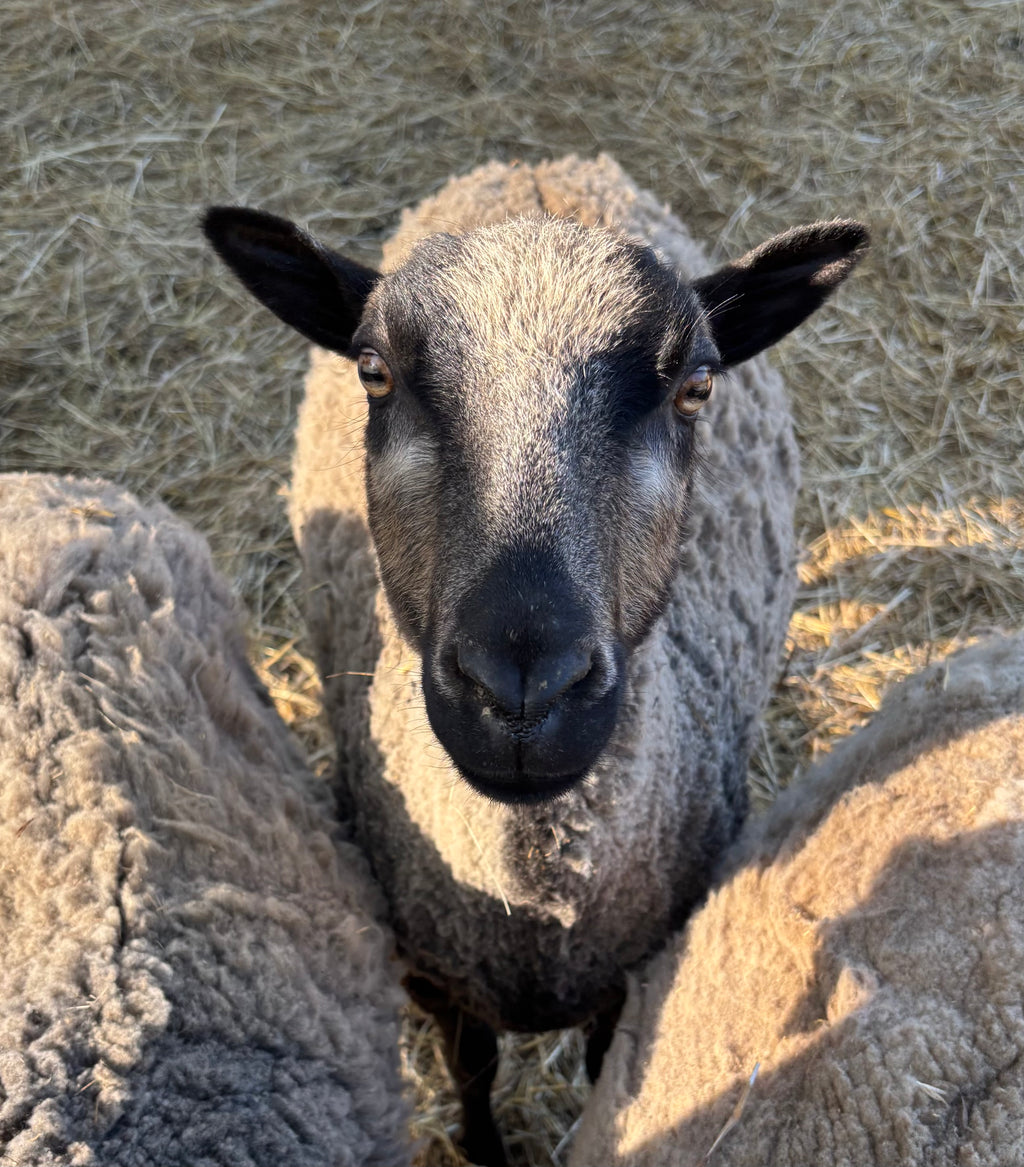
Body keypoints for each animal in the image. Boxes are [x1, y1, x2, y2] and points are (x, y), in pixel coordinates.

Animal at [203, 153, 868, 1163]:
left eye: (696, 386)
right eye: (374, 371)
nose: (523, 688)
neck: (531, 910)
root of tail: (540, 168)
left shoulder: (632, 971)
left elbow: (603, 1073)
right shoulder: (434, 974)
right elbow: (473, 1071)